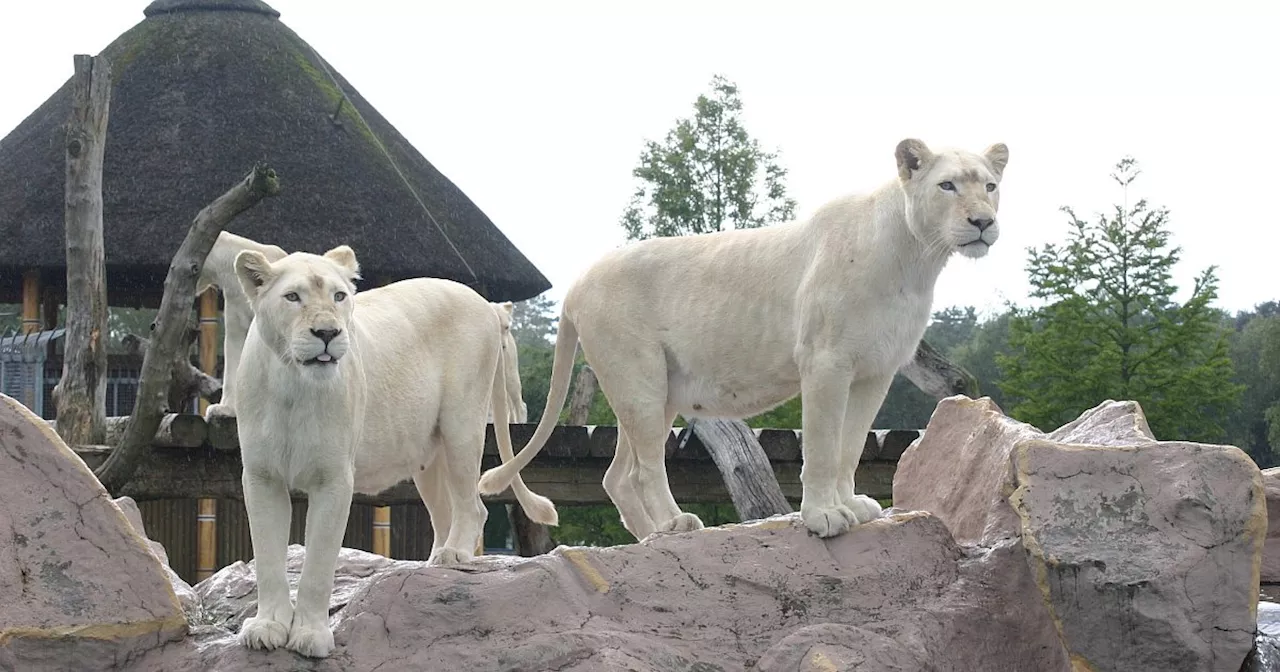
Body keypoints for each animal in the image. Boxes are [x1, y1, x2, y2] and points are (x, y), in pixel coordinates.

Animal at [231, 244, 560, 655]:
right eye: (292, 297)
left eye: (339, 296)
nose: (328, 333)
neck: (292, 384)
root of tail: (485, 303)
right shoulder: (262, 477)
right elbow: (268, 560)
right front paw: (267, 627)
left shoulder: (334, 479)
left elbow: (318, 564)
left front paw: (311, 635)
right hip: (429, 457)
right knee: (445, 512)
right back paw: (432, 564)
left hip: (462, 425)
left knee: (474, 506)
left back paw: (454, 554)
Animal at [481, 137, 1008, 540]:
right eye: (946, 185)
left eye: (990, 185)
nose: (983, 222)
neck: (916, 258)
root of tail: (575, 285)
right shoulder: (826, 362)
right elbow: (822, 445)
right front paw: (823, 516)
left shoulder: (874, 372)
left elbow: (850, 444)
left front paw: (852, 506)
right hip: (638, 379)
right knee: (645, 468)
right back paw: (677, 523)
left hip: (655, 391)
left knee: (618, 477)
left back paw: (655, 535)